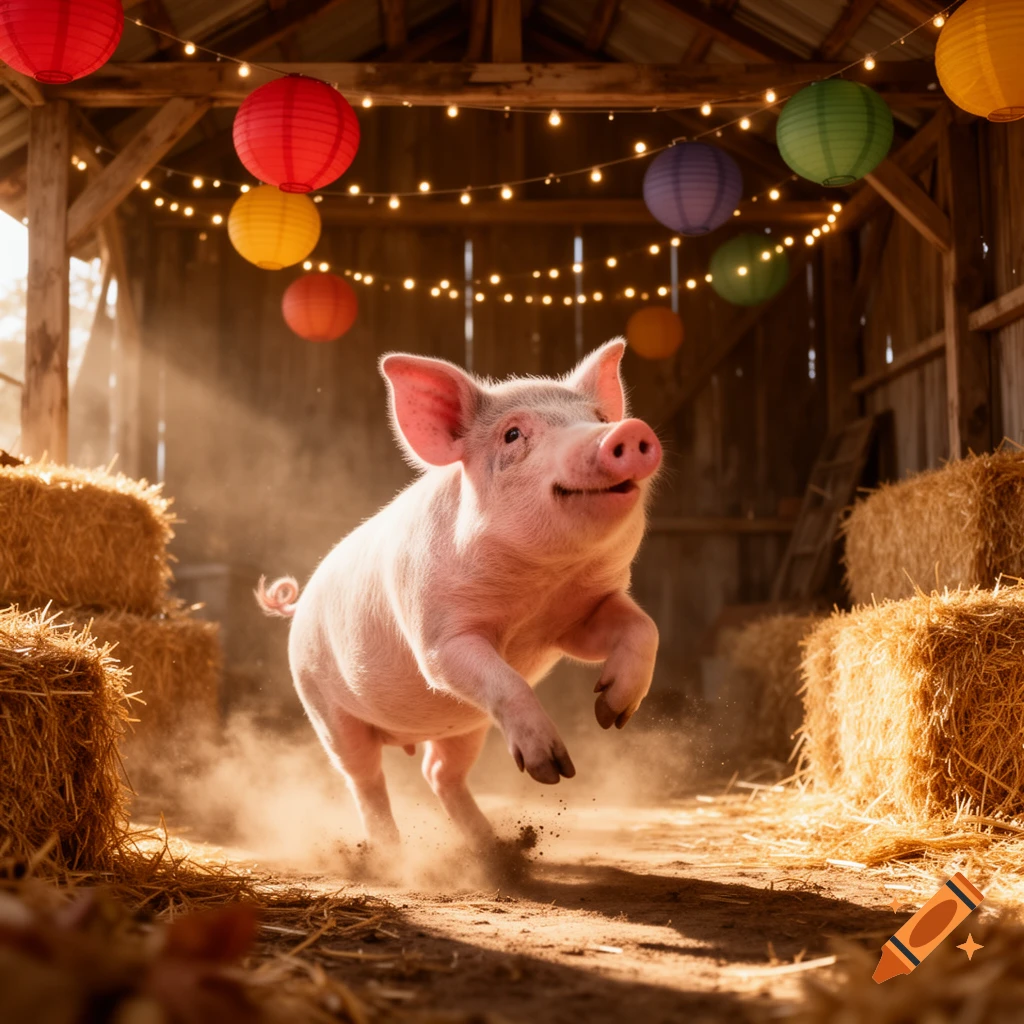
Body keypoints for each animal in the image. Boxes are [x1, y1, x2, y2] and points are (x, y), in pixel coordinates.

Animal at [255, 338, 662, 852]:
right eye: (512, 435)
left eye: (599, 416)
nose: (626, 430)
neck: (536, 591)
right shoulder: (437, 637)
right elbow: (505, 679)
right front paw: (554, 770)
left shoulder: (576, 619)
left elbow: (644, 627)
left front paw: (611, 714)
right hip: (324, 707)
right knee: (364, 779)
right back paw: (390, 854)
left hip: (465, 725)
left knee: (438, 773)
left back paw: (496, 847)